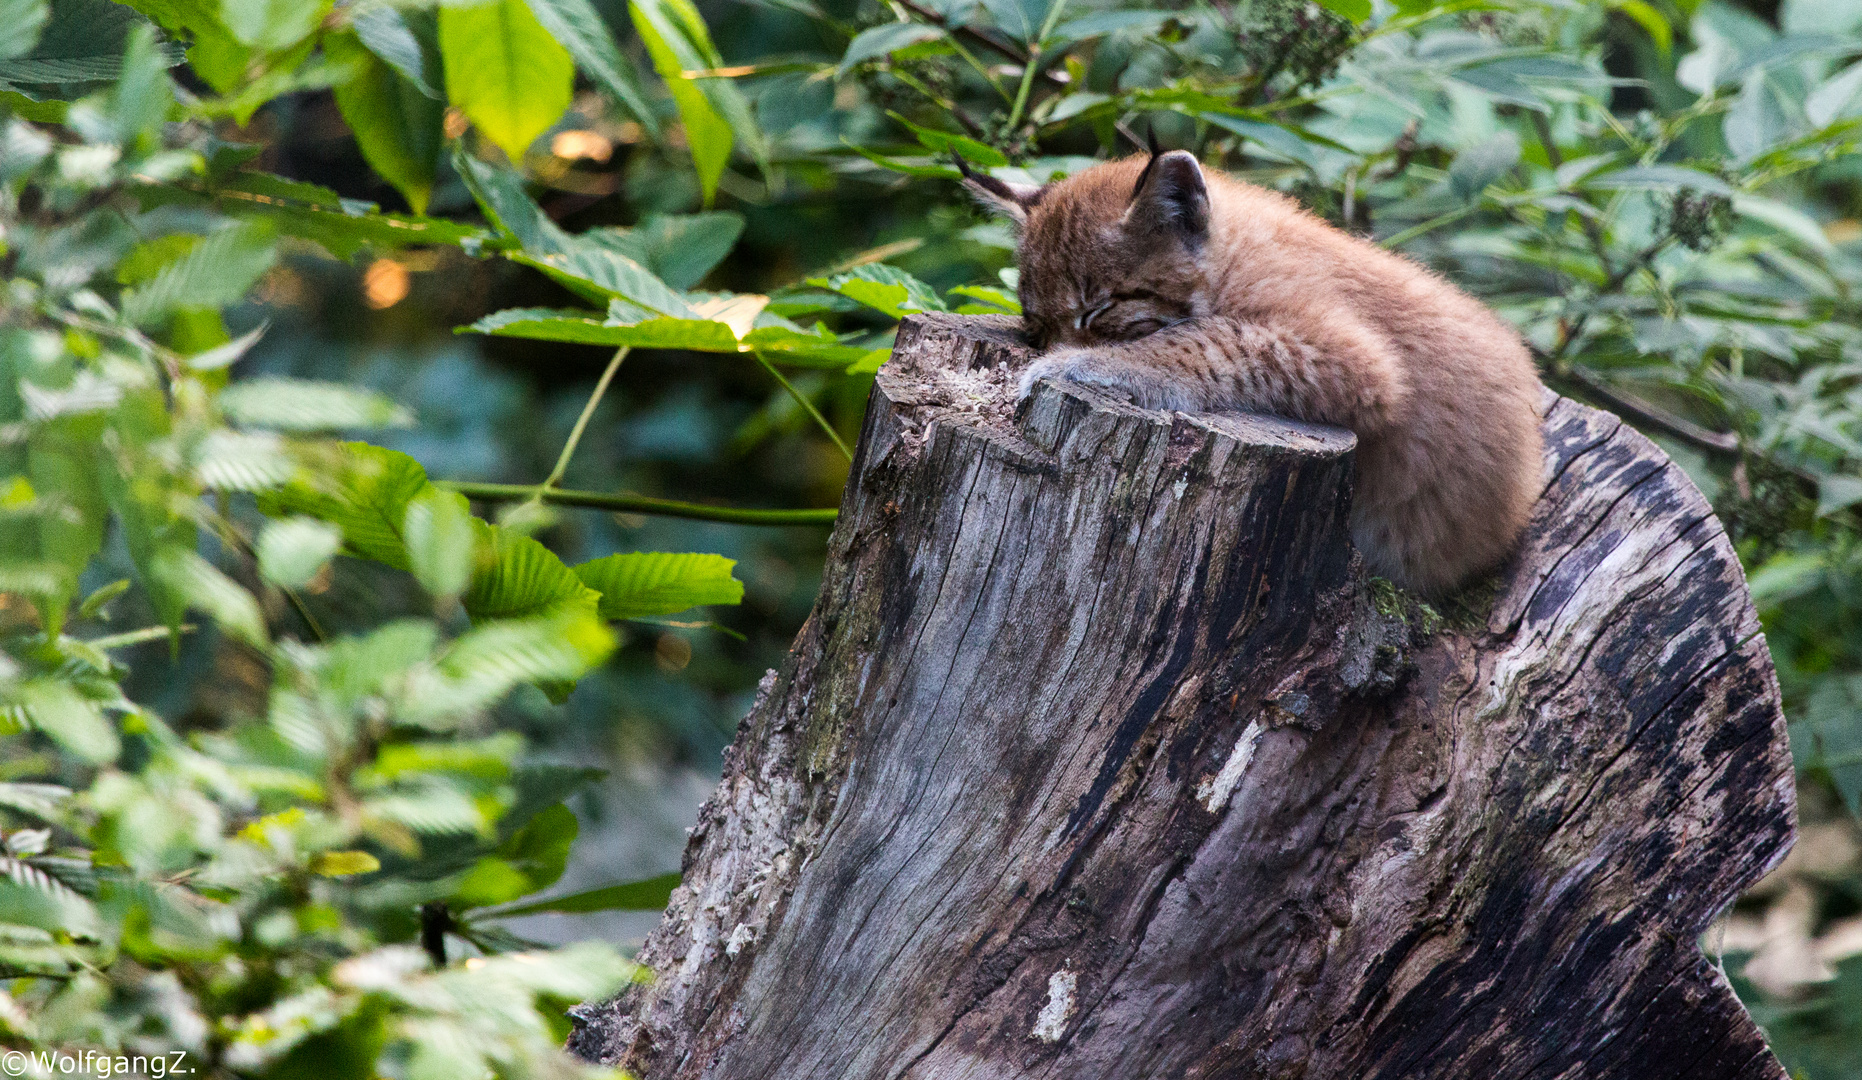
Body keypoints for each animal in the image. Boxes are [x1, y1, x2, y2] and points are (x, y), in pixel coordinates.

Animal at [960, 146, 1541, 595]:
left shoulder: (1359, 362)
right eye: (1035, 324)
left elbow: (1208, 338)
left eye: (1097, 310)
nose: (1053, 345)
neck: (1227, 261)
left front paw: (1079, 363)